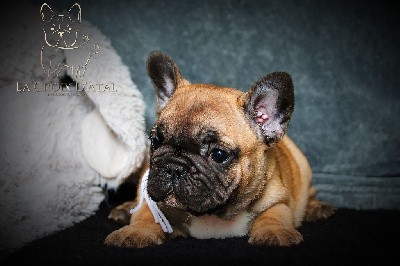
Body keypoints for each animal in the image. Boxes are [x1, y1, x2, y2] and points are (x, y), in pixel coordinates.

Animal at [104, 51, 334, 246]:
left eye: (218, 155)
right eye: (155, 142)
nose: (174, 167)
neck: (213, 215)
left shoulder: (278, 201)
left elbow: (274, 215)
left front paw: (274, 231)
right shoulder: (152, 200)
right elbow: (145, 215)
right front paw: (135, 232)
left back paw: (316, 208)